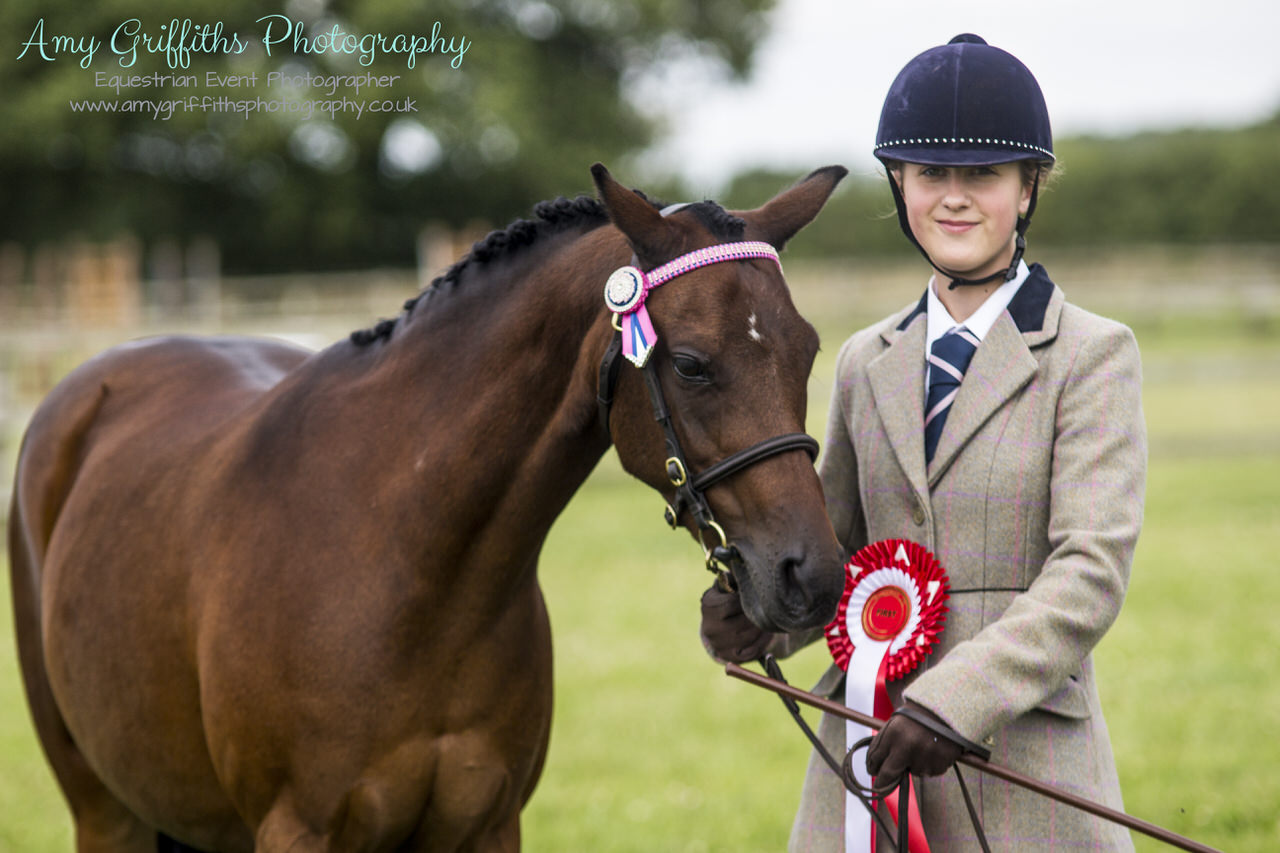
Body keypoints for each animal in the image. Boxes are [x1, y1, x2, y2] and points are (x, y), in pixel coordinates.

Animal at [12, 162, 849, 845]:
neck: (410, 571)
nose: (812, 575)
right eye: (692, 364)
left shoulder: (487, 824)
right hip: (102, 807)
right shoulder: (295, 828)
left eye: (808, 350)